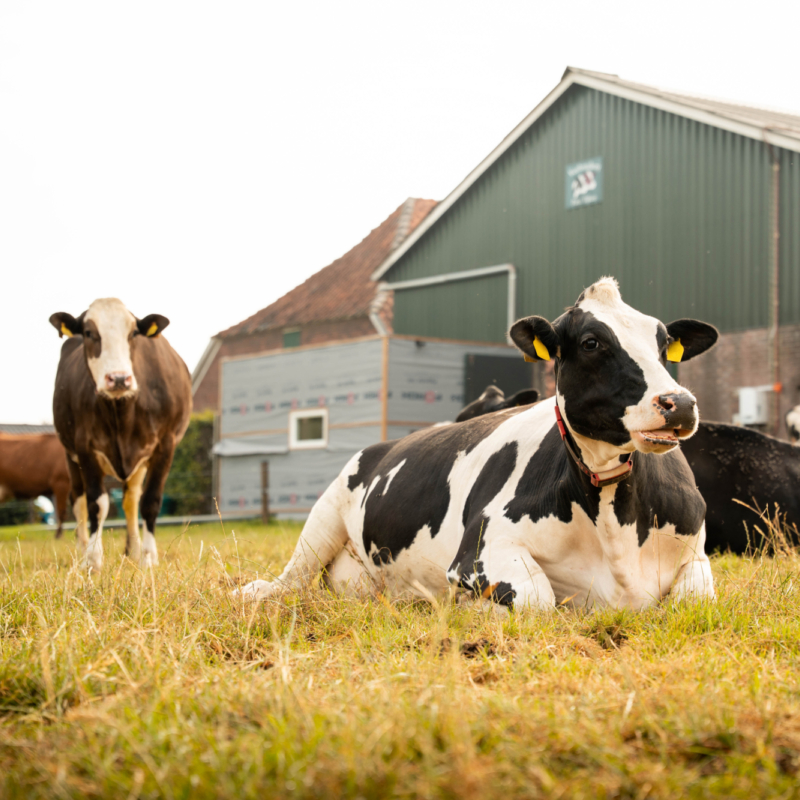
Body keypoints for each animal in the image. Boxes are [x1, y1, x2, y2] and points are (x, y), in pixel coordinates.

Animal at [49, 298, 192, 570]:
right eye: (88, 332)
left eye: (134, 333)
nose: (118, 378)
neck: (121, 410)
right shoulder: (85, 447)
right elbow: (97, 504)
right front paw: (93, 559)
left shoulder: (165, 445)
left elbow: (150, 501)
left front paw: (148, 557)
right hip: (69, 456)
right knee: (79, 502)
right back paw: (82, 550)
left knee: (131, 500)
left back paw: (134, 550)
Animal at [238, 277, 719, 612]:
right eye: (590, 342)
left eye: (664, 344)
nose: (679, 403)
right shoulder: (481, 551)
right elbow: (538, 600)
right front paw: (470, 607)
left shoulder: (697, 556)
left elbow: (695, 600)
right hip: (324, 513)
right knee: (290, 579)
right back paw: (254, 591)